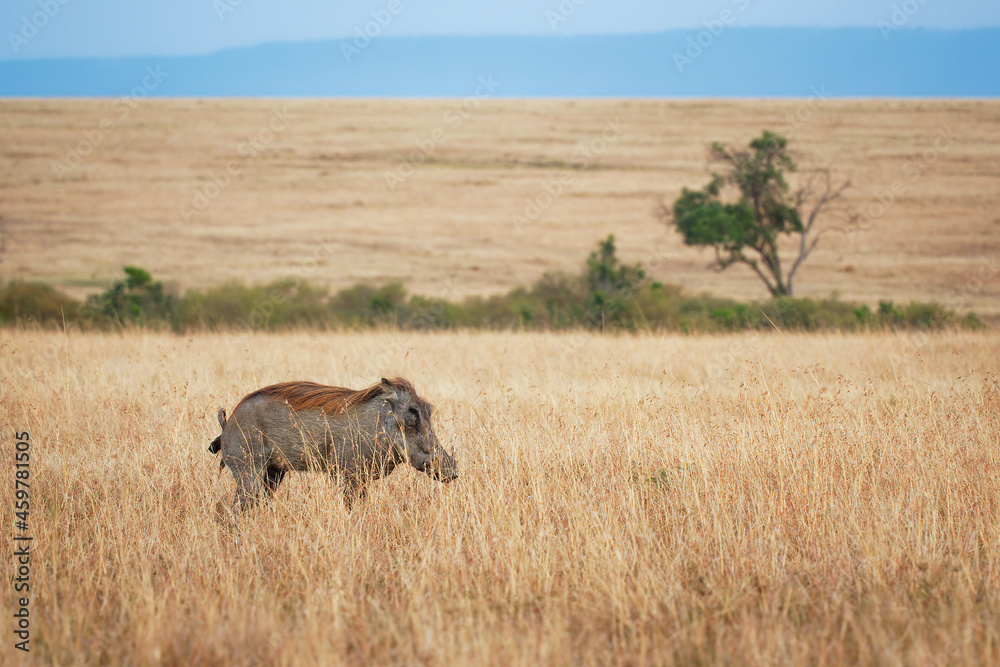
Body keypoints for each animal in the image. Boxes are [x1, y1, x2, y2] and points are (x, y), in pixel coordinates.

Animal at [209, 377, 458, 512]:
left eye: (427, 409)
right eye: (412, 413)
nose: (452, 472)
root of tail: (228, 422)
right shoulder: (349, 476)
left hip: (273, 473)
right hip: (248, 471)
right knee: (236, 510)